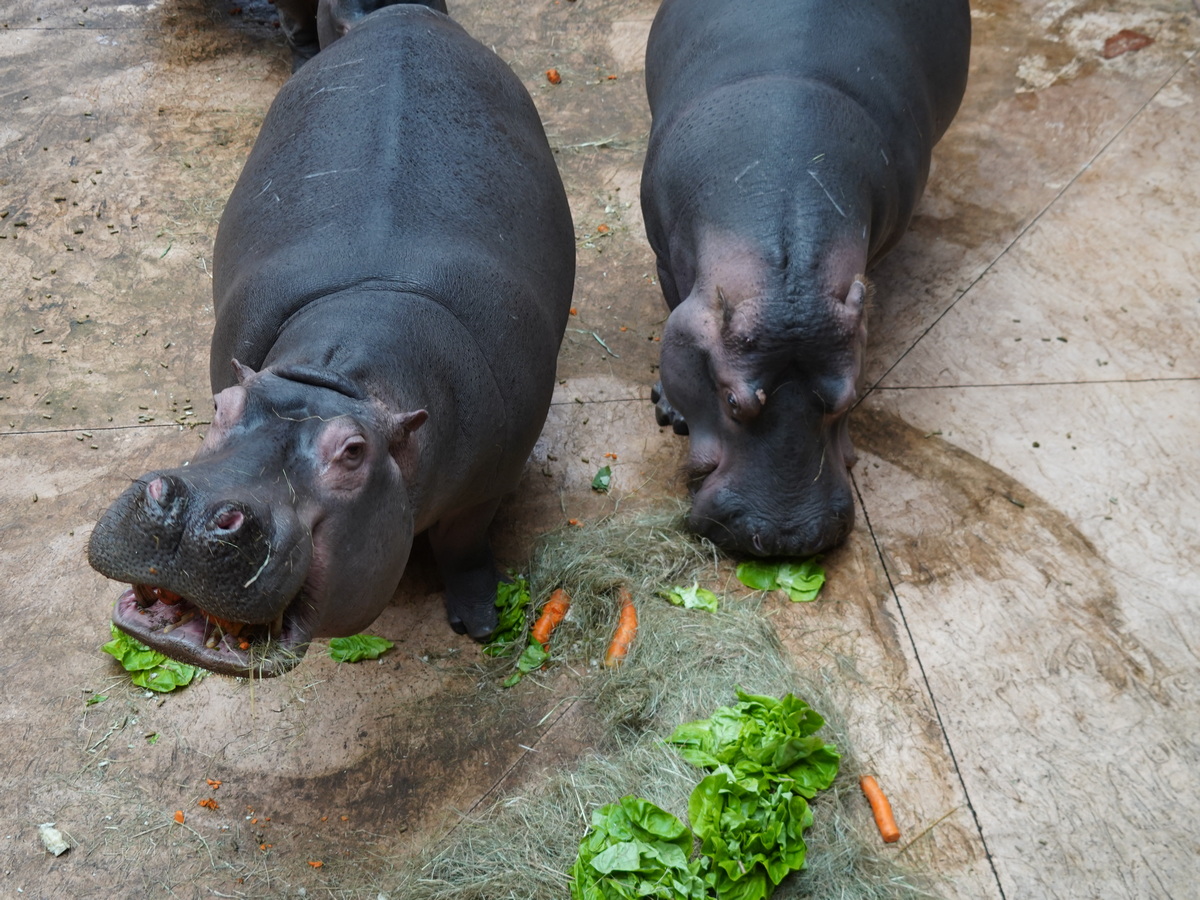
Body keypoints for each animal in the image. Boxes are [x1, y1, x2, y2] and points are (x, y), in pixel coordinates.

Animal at [87, 5, 573, 676]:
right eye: (221, 405)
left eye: (353, 453)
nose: (192, 512)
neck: (340, 379)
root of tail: (404, 14)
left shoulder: (490, 483)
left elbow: (464, 544)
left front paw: (479, 622)